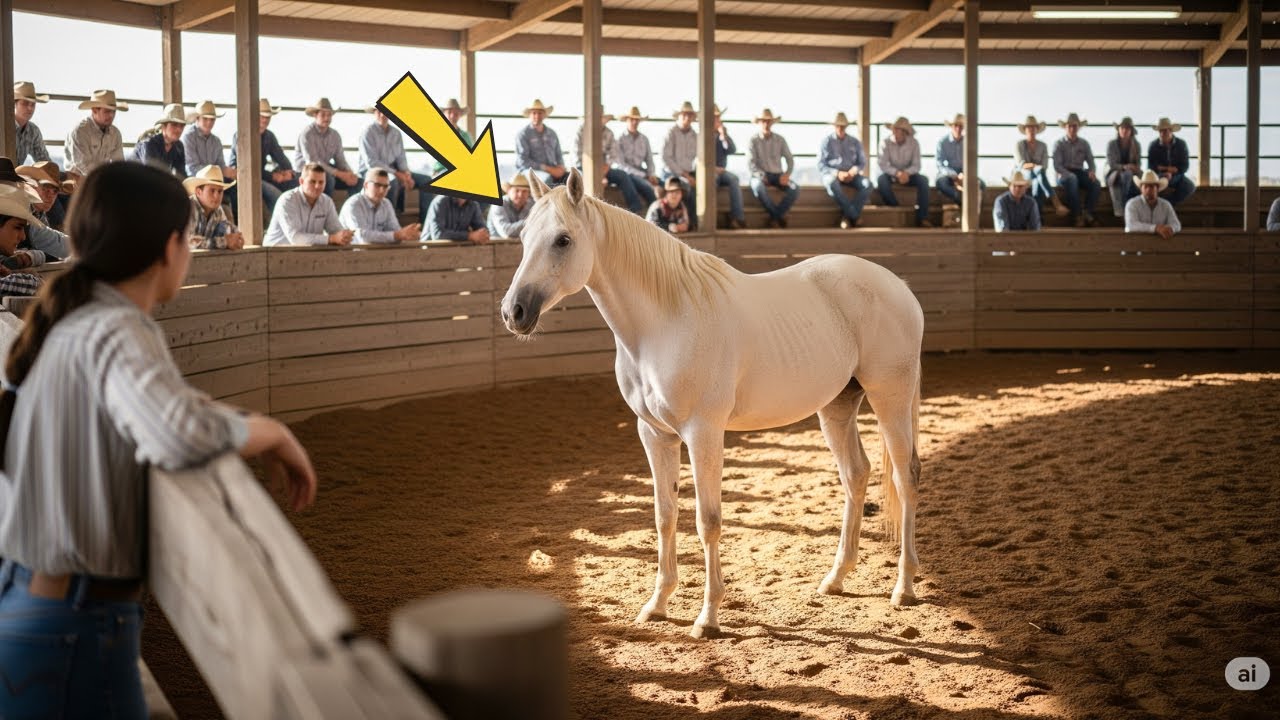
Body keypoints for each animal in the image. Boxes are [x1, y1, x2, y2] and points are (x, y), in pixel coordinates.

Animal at [500, 168, 924, 638]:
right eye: (523, 238)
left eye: (562, 240)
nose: (514, 312)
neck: (666, 322)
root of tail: (898, 286)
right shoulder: (655, 434)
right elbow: (664, 516)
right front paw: (657, 605)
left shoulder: (703, 433)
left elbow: (708, 521)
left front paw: (708, 617)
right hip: (837, 406)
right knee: (856, 474)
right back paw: (835, 578)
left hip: (890, 398)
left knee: (904, 479)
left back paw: (904, 588)